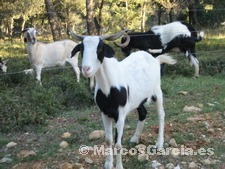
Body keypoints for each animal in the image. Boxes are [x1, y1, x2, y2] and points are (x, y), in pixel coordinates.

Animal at [70, 30, 176, 169]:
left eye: (100, 48)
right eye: (82, 48)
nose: (86, 69)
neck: (108, 89)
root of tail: (155, 59)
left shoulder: (120, 115)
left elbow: (118, 144)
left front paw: (119, 166)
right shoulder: (105, 113)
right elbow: (108, 140)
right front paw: (108, 164)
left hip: (157, 91)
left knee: (161, 115)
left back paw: (159, 144)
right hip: (137, 99)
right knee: (143, 113)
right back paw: (135, 138)